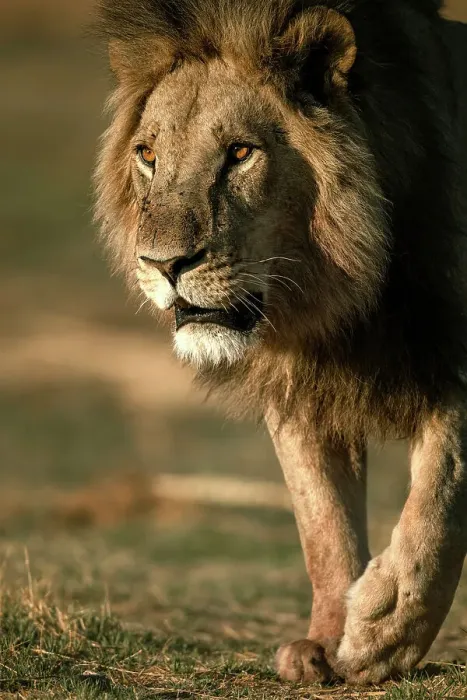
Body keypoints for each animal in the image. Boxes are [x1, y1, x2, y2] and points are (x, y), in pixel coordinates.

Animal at [94, 0, 467, 685]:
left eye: (240, 152)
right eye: (148, 154)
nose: (162, 264)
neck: (345, 296)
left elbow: (440, 495)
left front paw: (384, 632)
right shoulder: (299, 387)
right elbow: (321, 517)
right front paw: (324, 642)